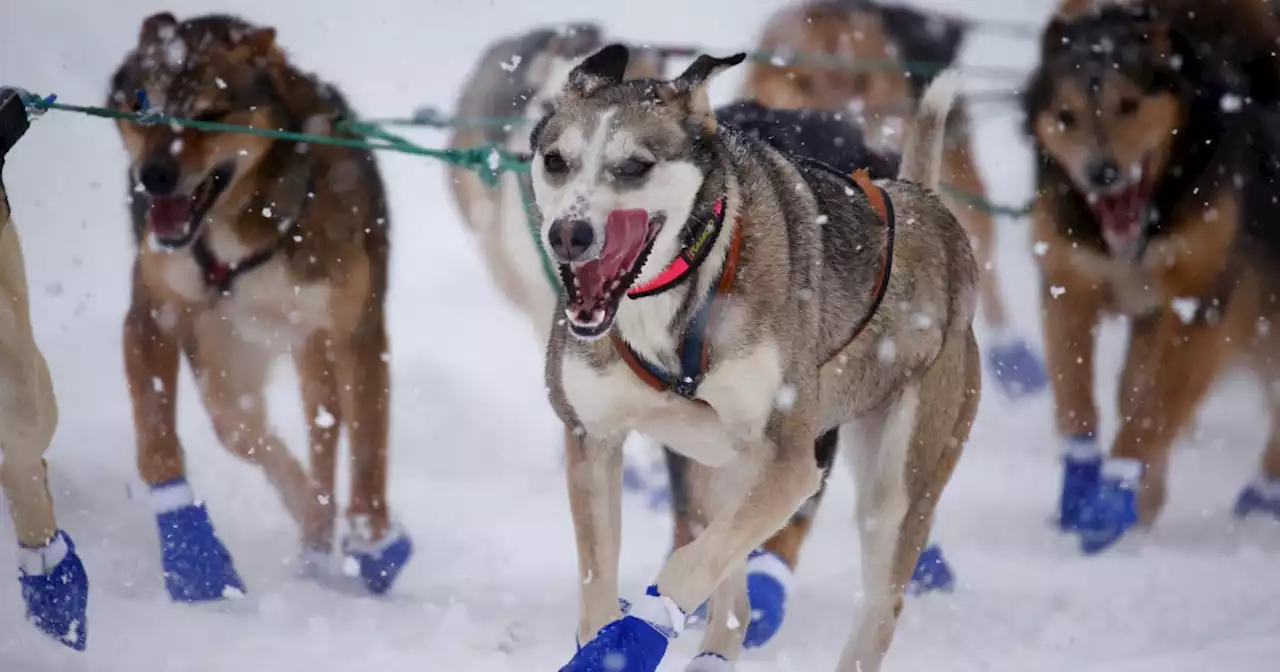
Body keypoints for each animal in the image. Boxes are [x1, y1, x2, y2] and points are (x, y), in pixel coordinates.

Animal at [108, 14, 414, 601]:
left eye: (209, 115)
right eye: (143, 105)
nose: (153, 175)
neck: (244, 226)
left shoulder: (358, 332)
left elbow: (368, 446)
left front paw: (374, 544)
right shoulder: (153, 314)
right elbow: (156, 441)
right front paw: (192, 558)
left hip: (311, 344)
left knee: (326, 426)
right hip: (227, 357)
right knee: (245, 427)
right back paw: (311, 523)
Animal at [529, 43, 977, 670]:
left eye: (635, 166)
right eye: (555, 160)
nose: (568, 234)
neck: (672, 299)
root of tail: (925, 206)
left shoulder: (792, 463)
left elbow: (688, 565)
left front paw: (635, 639)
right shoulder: (591, 437)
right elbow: (600, 589)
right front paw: (606, 646)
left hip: (896, 481)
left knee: (876, 606)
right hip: (717, 465)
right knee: (733, 608)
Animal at [1024, 0, 1280, 552]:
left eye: (1128, 104)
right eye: (1067, 116)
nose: (1102, 174)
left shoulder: (1202, 306)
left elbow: (1151, 414)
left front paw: (1113, 497)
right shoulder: (1069, 284)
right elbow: (1079, 400)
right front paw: (1085, 491)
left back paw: (1259, 500)